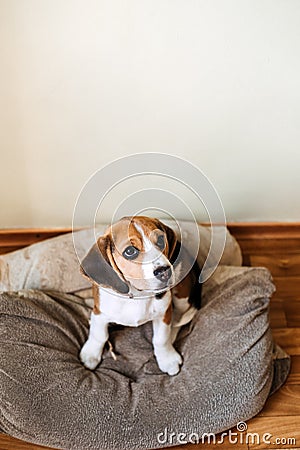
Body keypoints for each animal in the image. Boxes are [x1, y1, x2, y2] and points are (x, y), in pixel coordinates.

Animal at [79, 217, 202, 376]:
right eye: (130, 251)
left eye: (161, 240)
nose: (165, 272)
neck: (137, 294)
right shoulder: (99, 312)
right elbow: (99, 334)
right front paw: (91, 354)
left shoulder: (164, 313)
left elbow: (161, 339)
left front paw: (167, 359)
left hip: (182, 298)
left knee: (179, 318)